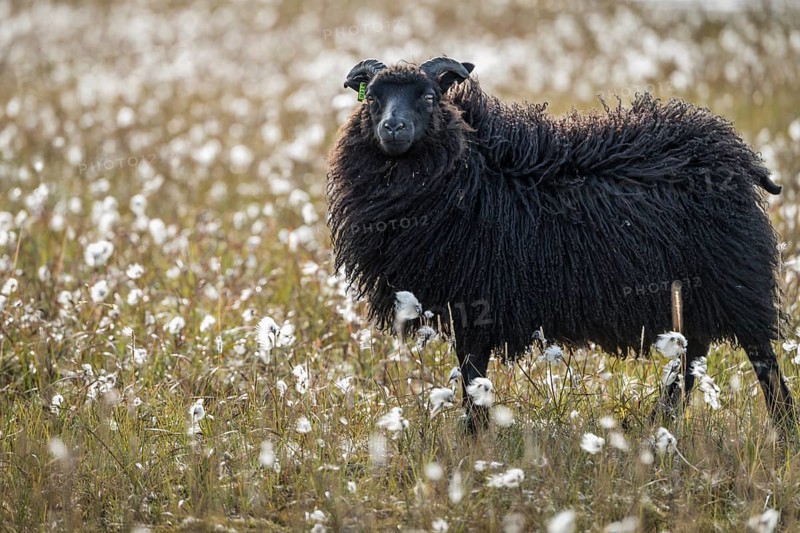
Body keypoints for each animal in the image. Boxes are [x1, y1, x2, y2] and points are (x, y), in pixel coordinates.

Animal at [326, 56, 795, 432]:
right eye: (372, 99)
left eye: (427, 96)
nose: (393, 128)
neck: (472, 169)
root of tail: (740, 157)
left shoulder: (476, 302)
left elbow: (472, 375)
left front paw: (472, 437)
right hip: (694, 290)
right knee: (692, 357)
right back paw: (657, 424)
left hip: (733, 276)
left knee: (761, 358)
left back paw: (783, 430)